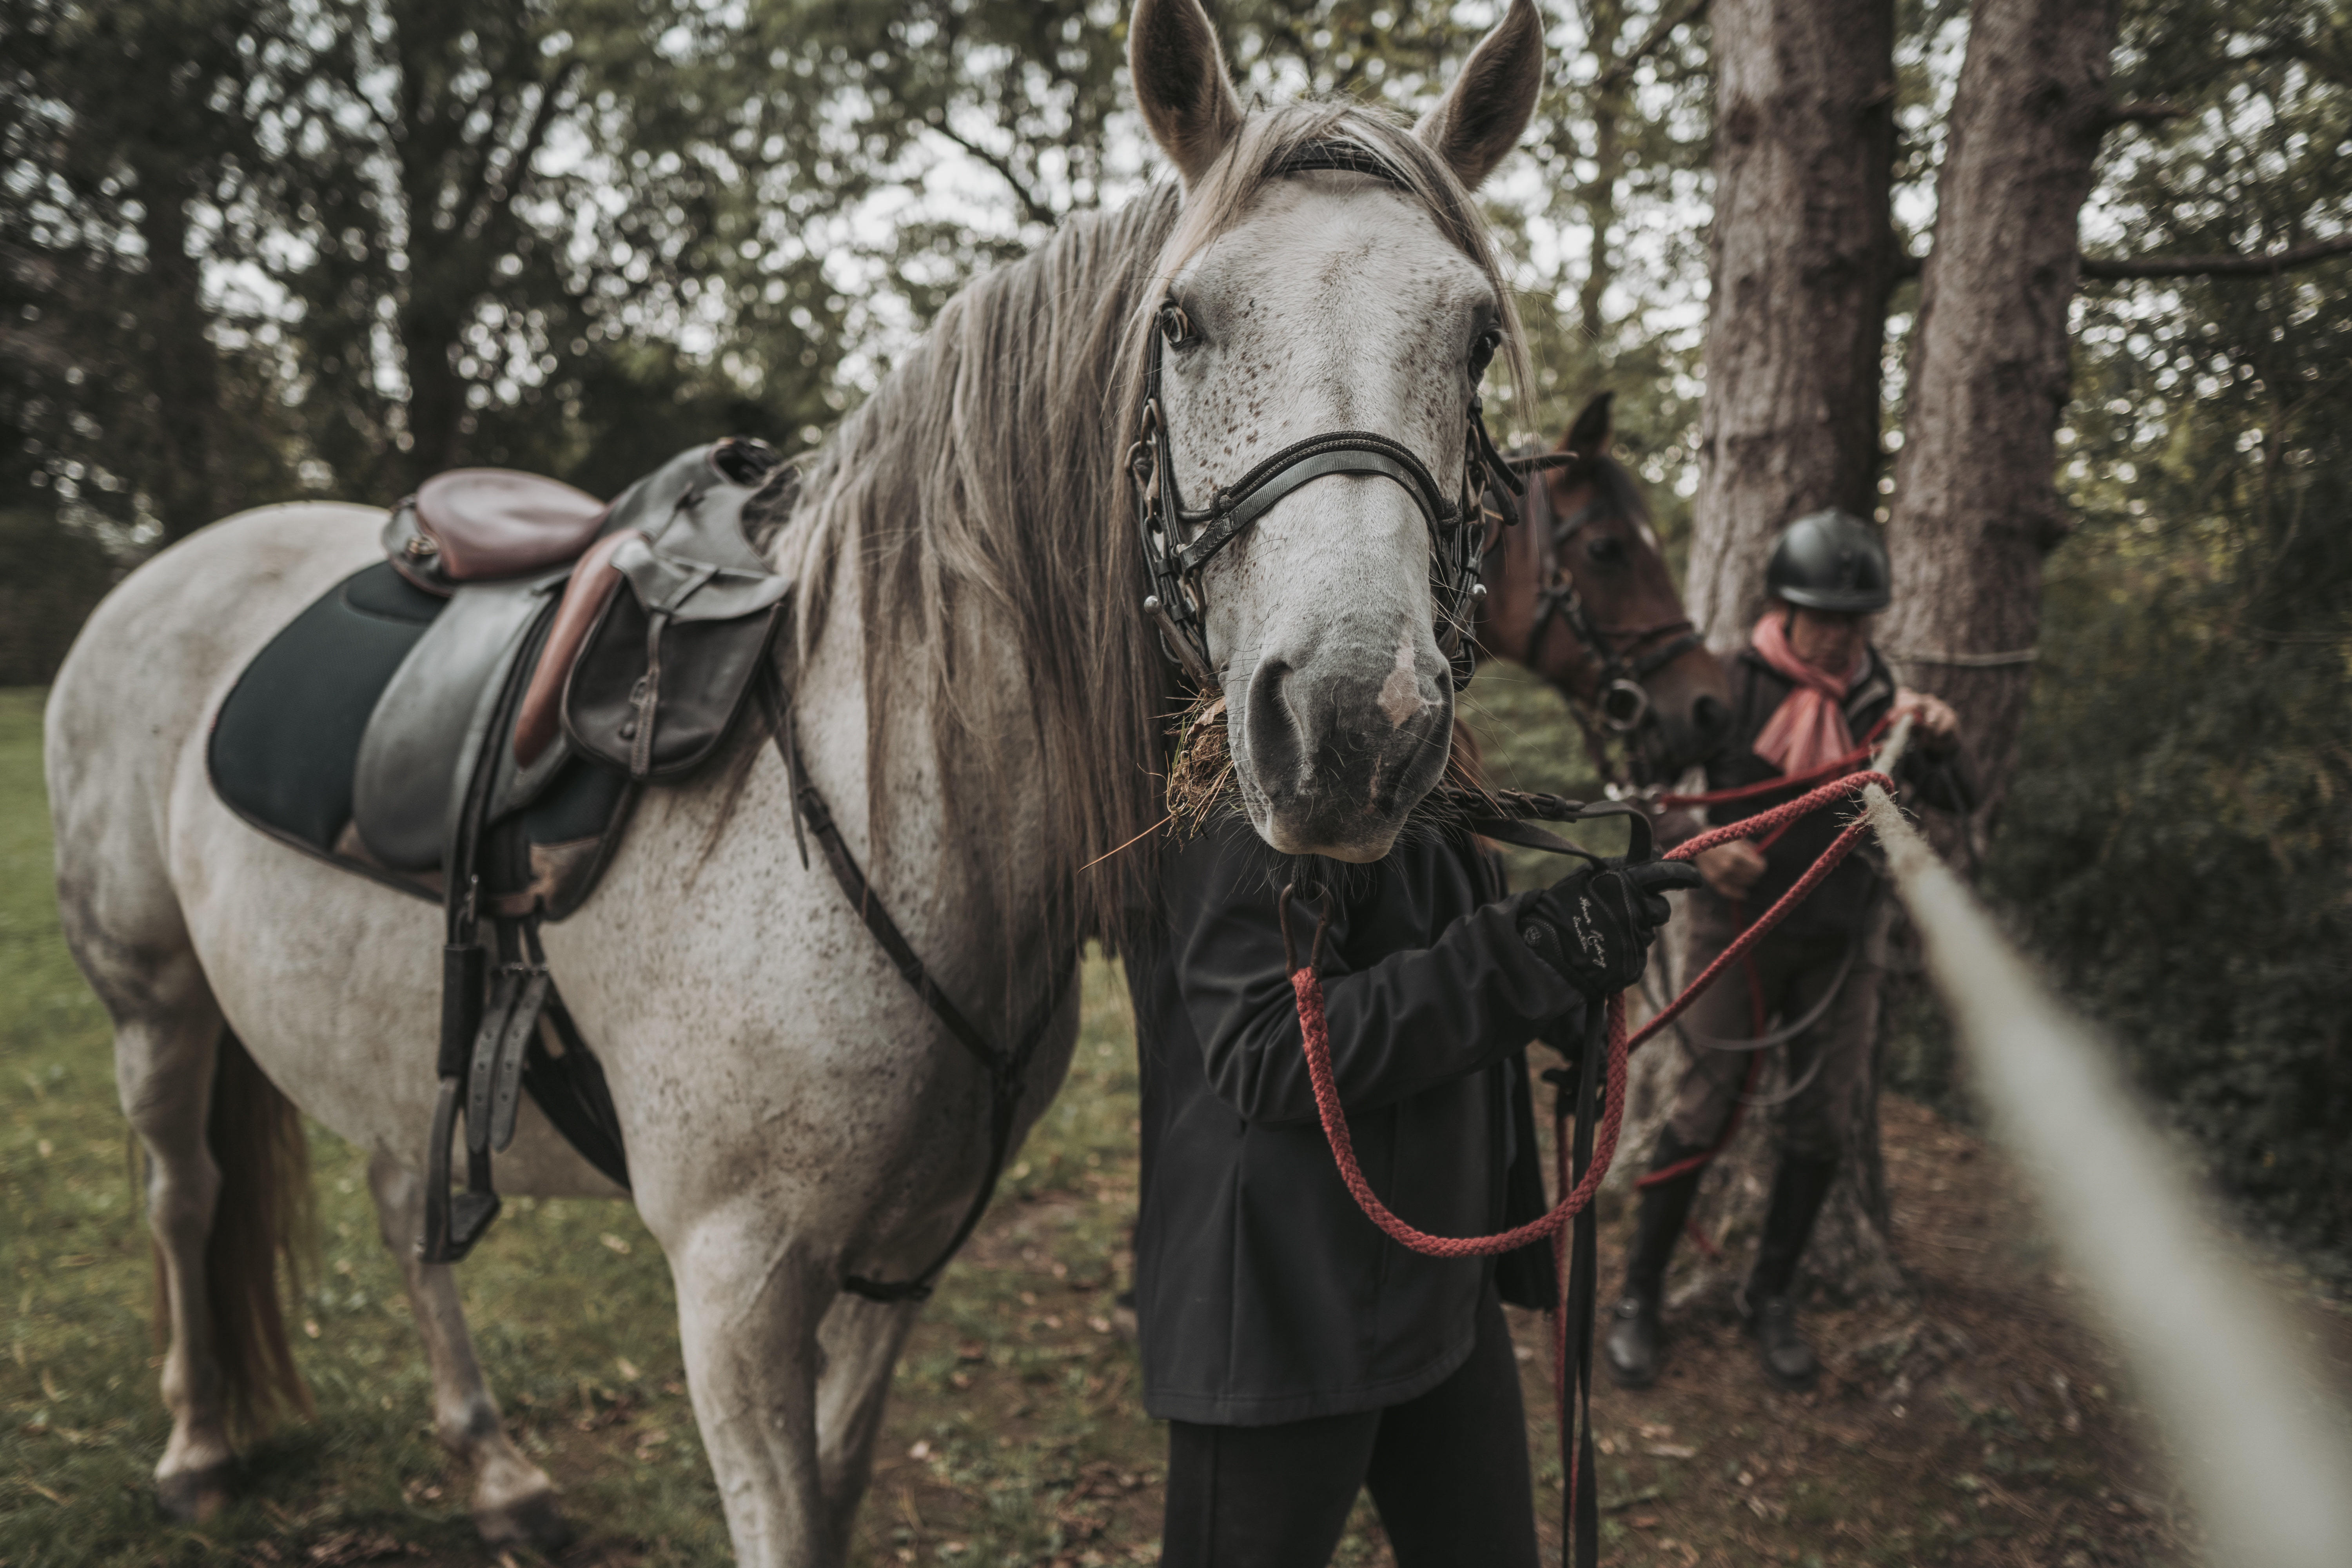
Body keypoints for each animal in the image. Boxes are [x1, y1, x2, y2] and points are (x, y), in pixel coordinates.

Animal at [46, 6, 1552, 1561]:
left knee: (402, 1191)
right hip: (151, 999)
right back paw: (198, 1445)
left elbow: (833, 1490)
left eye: (1477, 336)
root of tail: (177, 562)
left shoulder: (895, 1262)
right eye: (1183, 322)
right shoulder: (734, 1289)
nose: (1354, 724)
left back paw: (493, 1464)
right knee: (182, 1189)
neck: (888, 800)